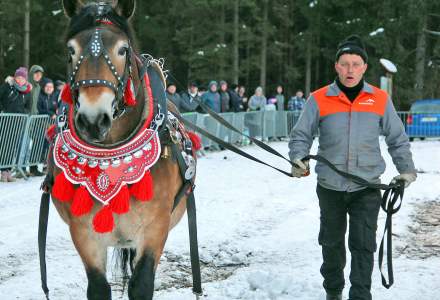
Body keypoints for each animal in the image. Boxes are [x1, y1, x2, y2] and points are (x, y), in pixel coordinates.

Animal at [43, 1, 199, 298]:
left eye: (122, 49)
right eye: (71, 50)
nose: (93, 119)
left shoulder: (154, 228)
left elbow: (141, 285)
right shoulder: (84, 232)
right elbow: (98, 288)